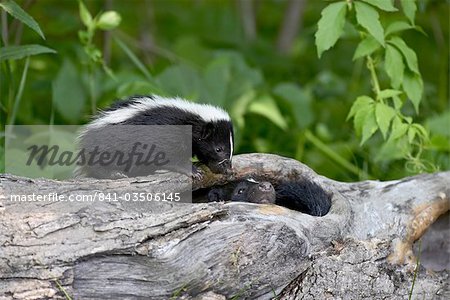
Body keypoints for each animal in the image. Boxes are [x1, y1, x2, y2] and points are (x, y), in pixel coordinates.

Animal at [76, 94, 234, 178]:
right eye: (218, 149)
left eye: (231, 149)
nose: (229, 168)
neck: (192, 120)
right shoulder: (168, 136)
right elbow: (171, 157)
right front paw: (192, 170)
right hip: (109, 145)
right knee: (100, 163)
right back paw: (114, 173)